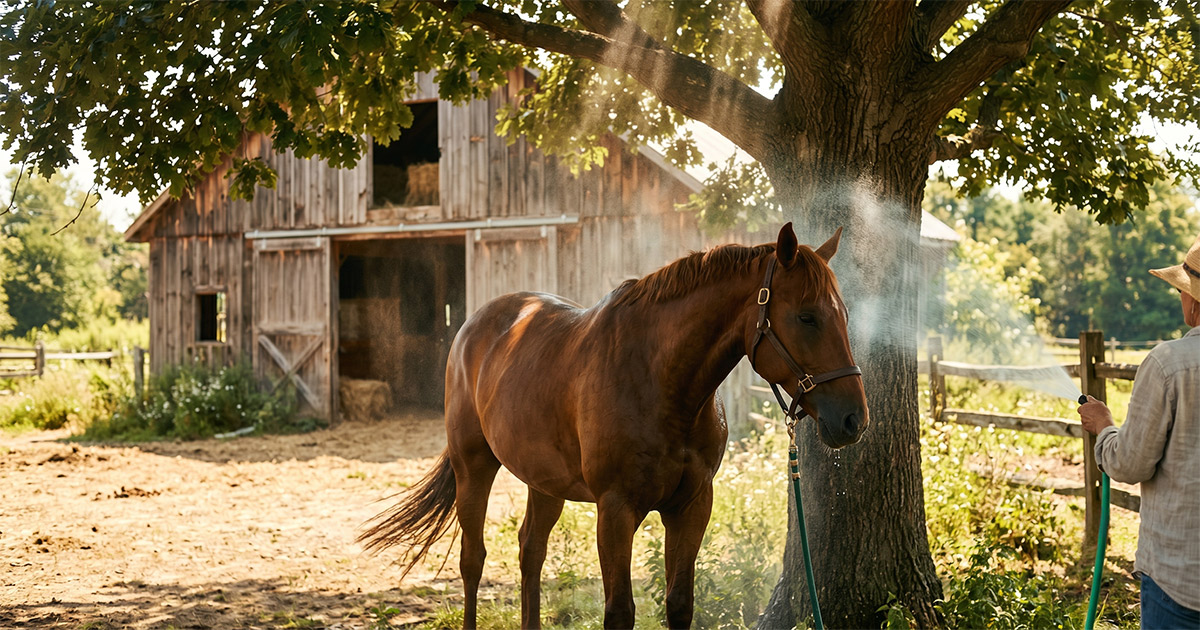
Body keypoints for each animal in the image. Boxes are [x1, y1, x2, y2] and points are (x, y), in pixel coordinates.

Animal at [359, 223, 869, 629]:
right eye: (806, 316)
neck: (662, 382)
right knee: (473, 560)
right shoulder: (616, 509)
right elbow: (619, 612)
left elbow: (679, 604)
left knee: (530, 552)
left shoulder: (692, 505)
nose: (854, 419)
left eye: (845, 315)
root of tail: (475, 325)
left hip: (545, 482)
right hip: (474, 467)